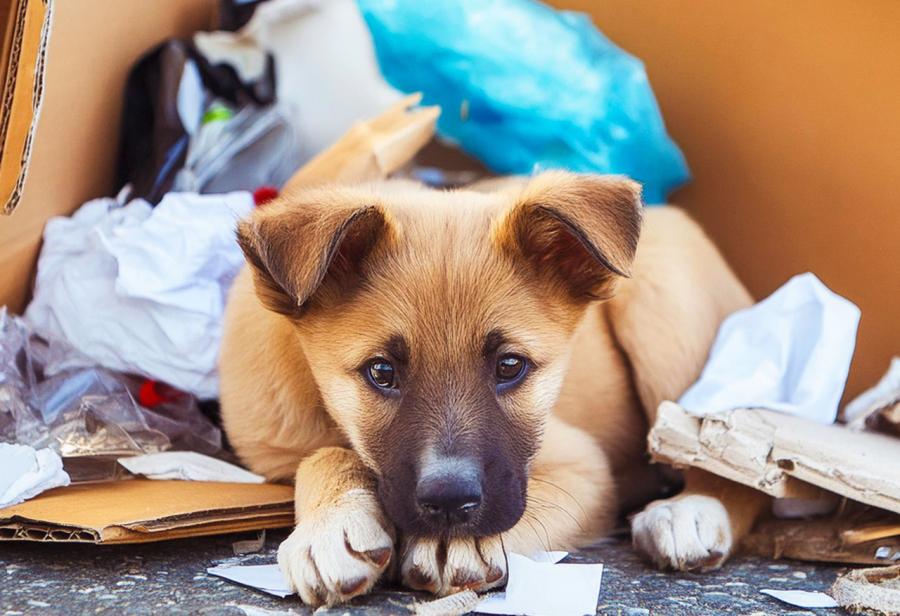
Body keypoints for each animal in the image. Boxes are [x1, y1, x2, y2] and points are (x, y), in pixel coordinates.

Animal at [218, 171, 768, 604]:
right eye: (381, 373)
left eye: (510, 366)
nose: (449, 506)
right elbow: (324, 454)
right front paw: (332, 525)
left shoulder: (583, 466)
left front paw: (459, 543)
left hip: (666, 309)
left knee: (731, 453)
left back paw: (691, 511)